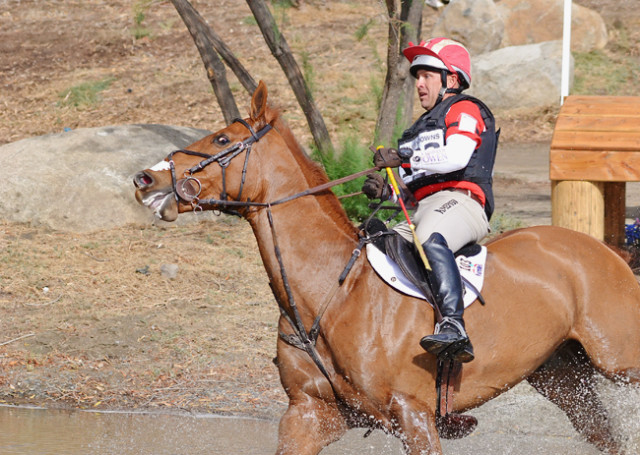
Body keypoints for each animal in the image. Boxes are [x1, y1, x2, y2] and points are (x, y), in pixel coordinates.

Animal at [134, 82, 640, 455]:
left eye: (221, 140)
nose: (146, 179)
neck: (332, 291)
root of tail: (601, 249)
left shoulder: (413, 415)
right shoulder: (309, 413)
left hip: (617, 358)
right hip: (560, 374)